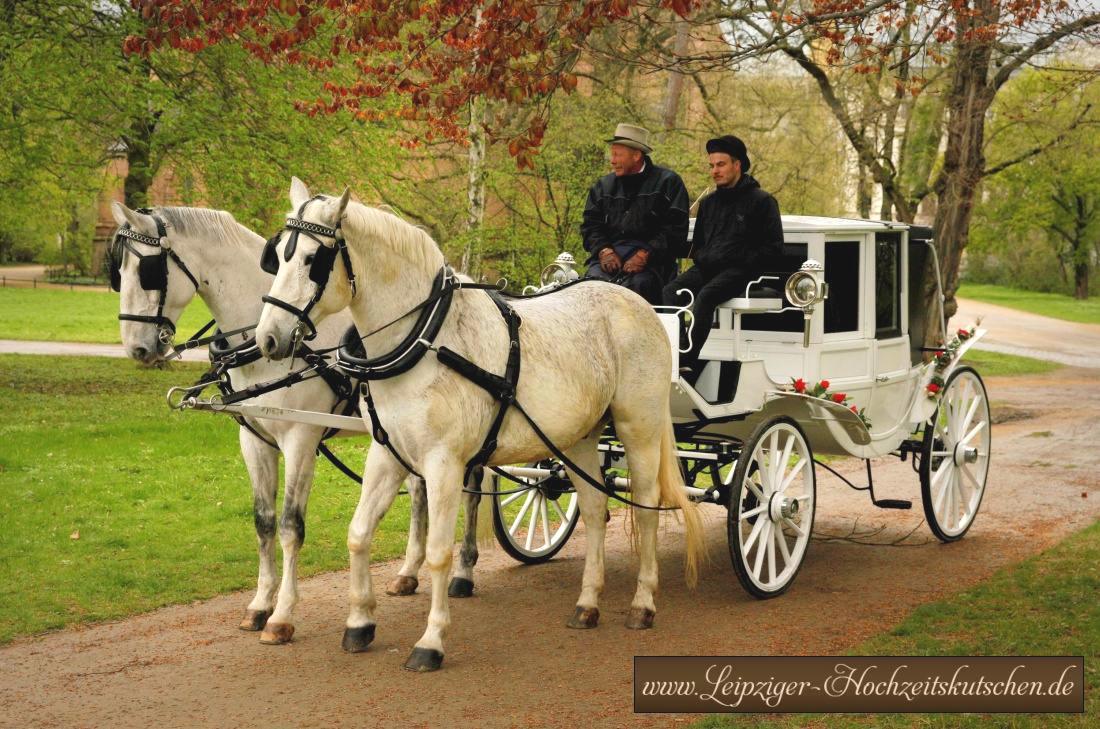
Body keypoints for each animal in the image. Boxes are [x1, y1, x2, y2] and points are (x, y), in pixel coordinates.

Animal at [109, 202, 484, 646]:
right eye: (118, 271)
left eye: (148, 270)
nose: (137, 348)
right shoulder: (254, 440)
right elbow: (264, 522)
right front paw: (260, 604)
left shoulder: (300, 438)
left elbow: (290, 526)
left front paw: (282, 614)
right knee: (418, 490)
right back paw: (409, 571)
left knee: (474, 490)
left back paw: (464, 570)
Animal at [255, 178, 704, 672]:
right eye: (278, 257)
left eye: (312, 260)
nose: (268, 338)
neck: (425, 338)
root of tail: (639, 305)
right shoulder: (387, 455)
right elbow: (358, 534)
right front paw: (359, 622)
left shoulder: (444, 463)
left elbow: (438, 553)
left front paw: (431, 640)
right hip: (580, 438)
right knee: (593, 508)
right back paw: (588, 603)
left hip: (638, 426)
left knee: (645, 508)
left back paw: (643, 603)